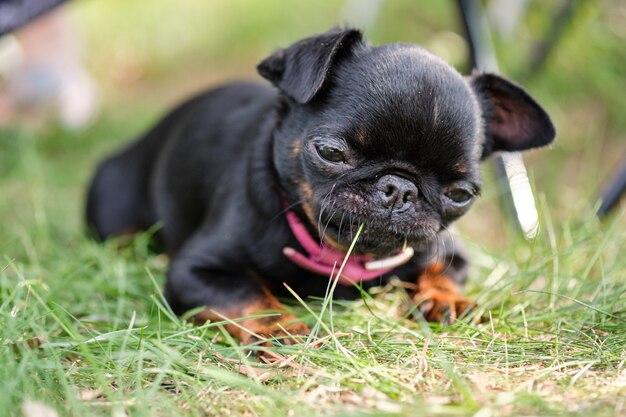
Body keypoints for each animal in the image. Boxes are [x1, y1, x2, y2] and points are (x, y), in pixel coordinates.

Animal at [85, 28, 552, 342]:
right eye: (330, 153)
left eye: (460, 194)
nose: (399, 189)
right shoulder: (196, 270)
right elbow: (245, 294)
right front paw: (278, 328)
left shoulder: (449, 251)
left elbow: (442, 270)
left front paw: (445, 298)